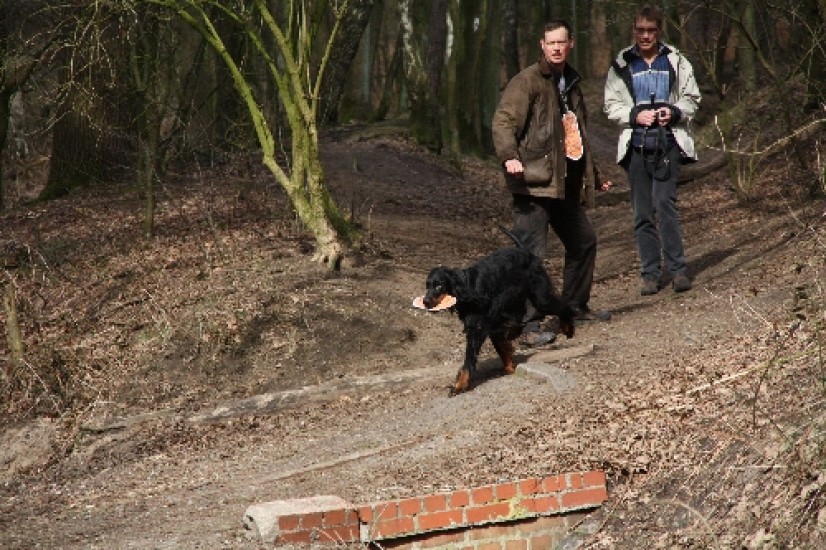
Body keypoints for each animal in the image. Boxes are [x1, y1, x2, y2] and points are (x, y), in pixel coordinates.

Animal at [423, 227, 574, 396]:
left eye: (439, 286)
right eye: (427, 285)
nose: (425, 301)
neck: (467, 288)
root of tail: (524, 251)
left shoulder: (480, 328)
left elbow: (470, 359)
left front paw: (460, 386)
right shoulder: (488, 324)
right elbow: (501, 345)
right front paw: (510, 366)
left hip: (540, 298)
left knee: (563, 307)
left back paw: (568, 328)